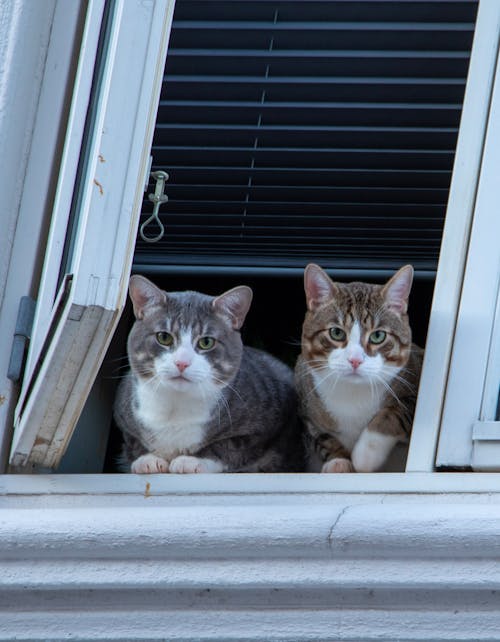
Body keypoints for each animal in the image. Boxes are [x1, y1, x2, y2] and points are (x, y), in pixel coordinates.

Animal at [113, 272, 302, 472]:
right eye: (163, 337)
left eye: (206, 342)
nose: (182, 363)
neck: (176, 407)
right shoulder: (124, 417)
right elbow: (134, 443)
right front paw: (147, 460)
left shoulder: (264, 424)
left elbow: (227, 446)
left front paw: (191, 461)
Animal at [294, 262, 424, 472]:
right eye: (336, 332)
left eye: (378, 336)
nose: (355, 360)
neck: (353, 393)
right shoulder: (304, 404)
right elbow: (322, 438)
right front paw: (339, 461)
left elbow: (395, 411)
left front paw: (366, 454)